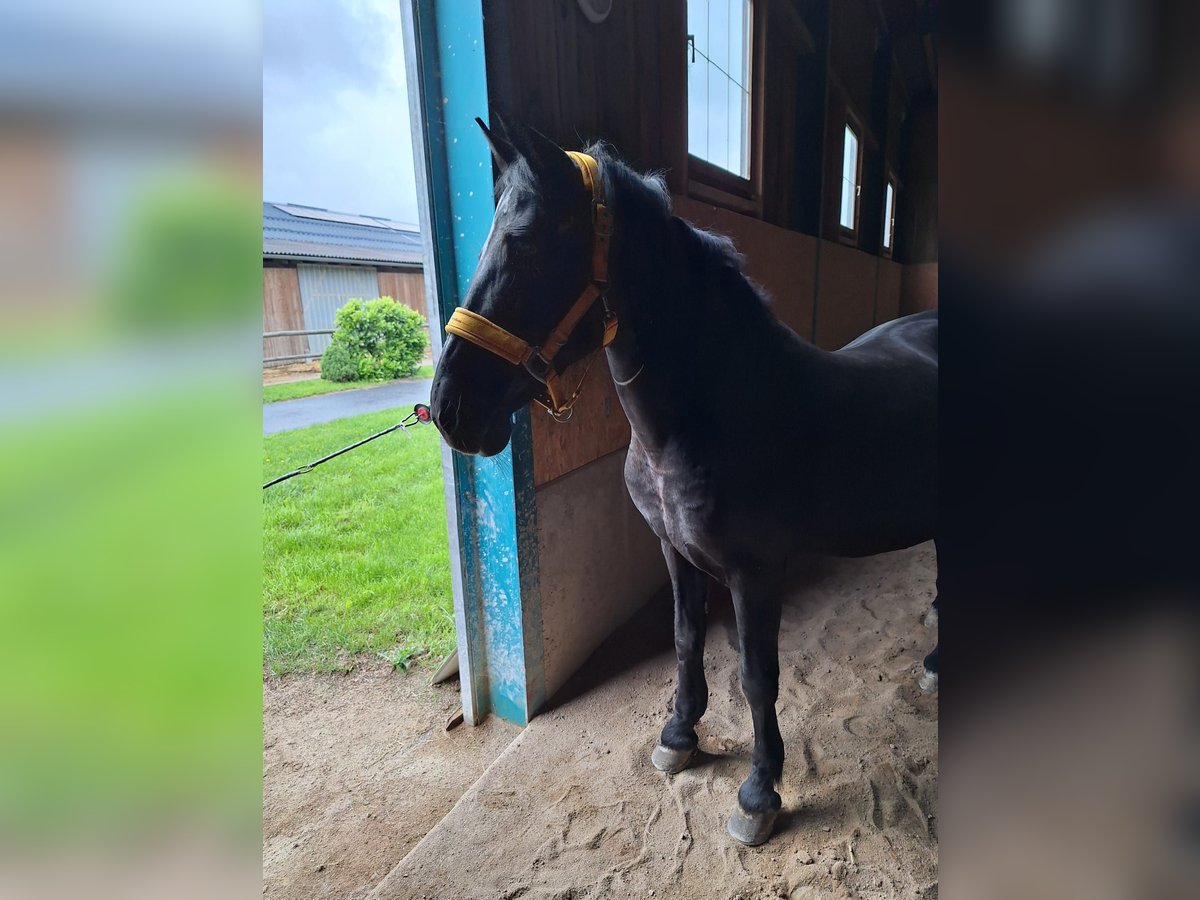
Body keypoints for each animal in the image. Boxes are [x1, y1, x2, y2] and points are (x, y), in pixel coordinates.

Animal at [432, 120, 936, 844]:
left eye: (525, 244)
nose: (449, 409)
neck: (709, 416)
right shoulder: (674, 551)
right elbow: (685, 638)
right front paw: (679, 736)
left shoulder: (755, 573)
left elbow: (757, 676)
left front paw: (759, 794)